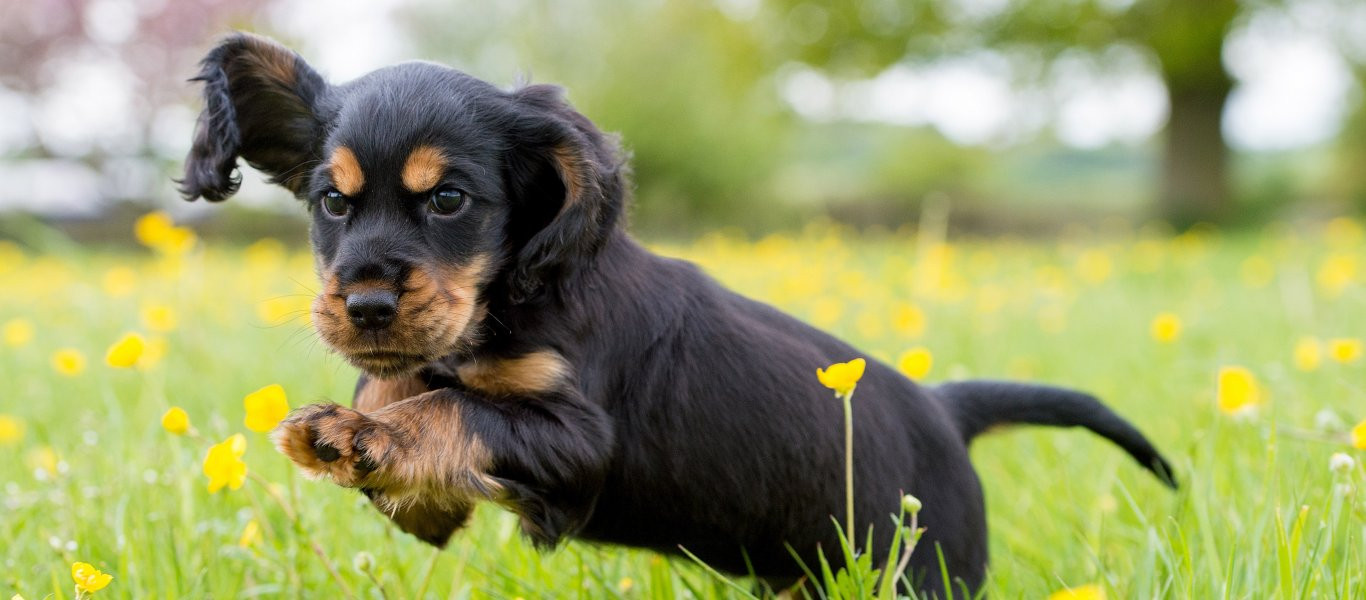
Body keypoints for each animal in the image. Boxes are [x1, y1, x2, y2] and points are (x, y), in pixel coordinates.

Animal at [178, 35, 1174, 598]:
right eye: (331, 203)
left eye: (450, 199)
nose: (367, 304)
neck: (511, 299)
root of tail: (946, 408)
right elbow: (418, 401)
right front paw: (357, 422)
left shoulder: (577, 438)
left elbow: (456, 406)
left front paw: (365, 430)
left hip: (924, 570)